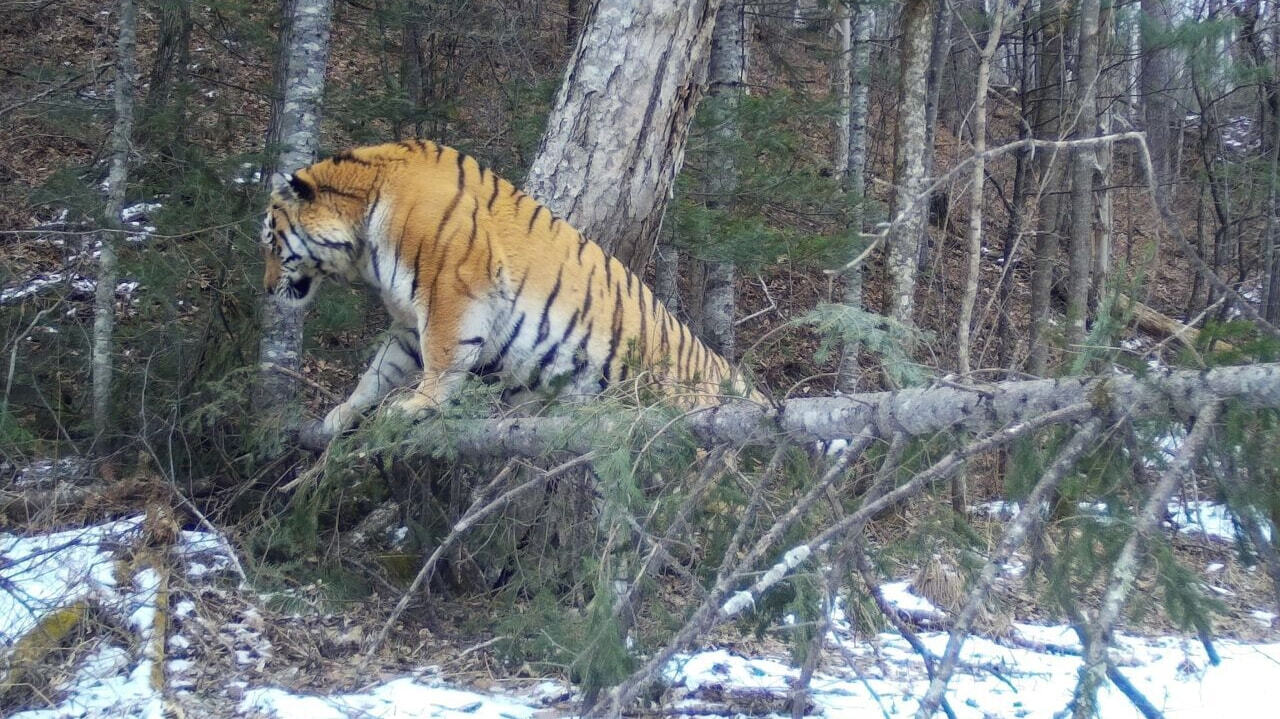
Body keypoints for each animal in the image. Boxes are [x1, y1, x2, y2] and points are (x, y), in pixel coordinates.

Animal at [259, 136, 757, 434]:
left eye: (270, 241)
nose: (265, 289)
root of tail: (727, 371)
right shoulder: (407, 324)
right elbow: (378, 372)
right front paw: (340, 416)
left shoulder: (453, 288)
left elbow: (443, 358)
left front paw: (419, 406)